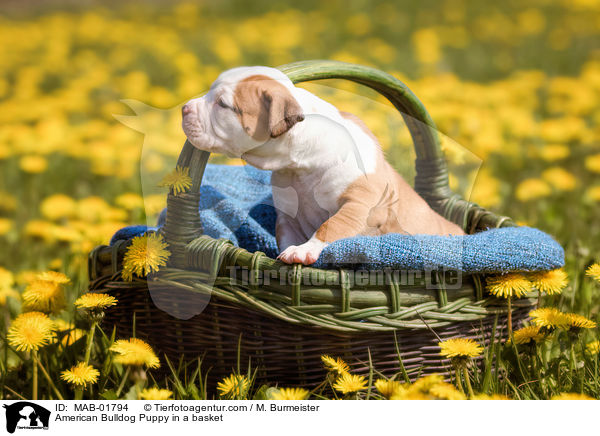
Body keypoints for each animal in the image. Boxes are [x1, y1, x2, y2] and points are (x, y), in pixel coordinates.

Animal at [182, 67, 464, 266]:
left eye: (223, 104)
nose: (184, 108)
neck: (301, 165)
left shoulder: (361, 204)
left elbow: (332, 225)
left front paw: (305, 249)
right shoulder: (287, 216)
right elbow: (285, 236)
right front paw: (284, 253)